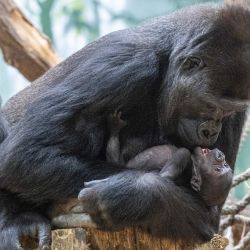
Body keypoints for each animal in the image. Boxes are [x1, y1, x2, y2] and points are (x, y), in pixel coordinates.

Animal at [0, 3, 250, 250]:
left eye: (228, 112)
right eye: (210, 106)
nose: (211, 132)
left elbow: (209, 214)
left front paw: (133, 194)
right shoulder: (127, 64)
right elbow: (25, 155)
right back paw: (17, 221)